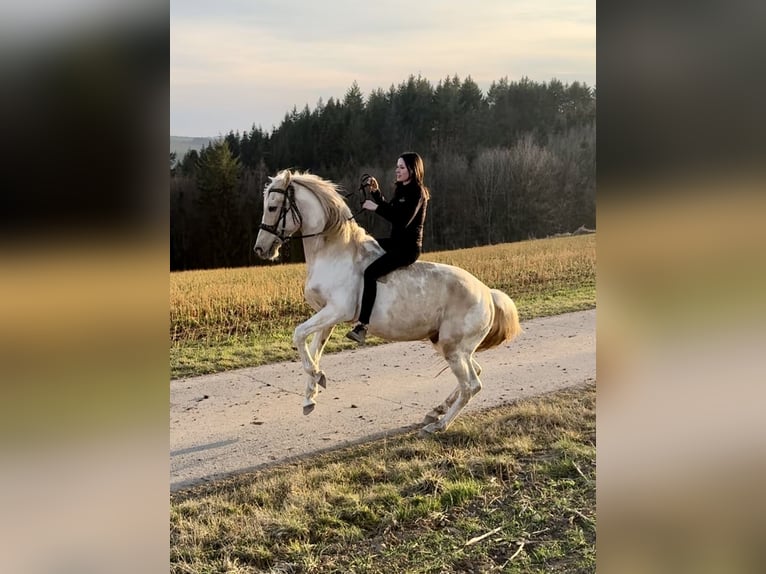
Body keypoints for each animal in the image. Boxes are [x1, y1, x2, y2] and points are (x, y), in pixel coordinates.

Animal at [255, 169, 524, 434]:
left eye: (272, 206)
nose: (261, 249)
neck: (333, 252)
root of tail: (488, 294)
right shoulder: (327, 316)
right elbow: (313, 350)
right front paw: (310, 397)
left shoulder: (336, 311)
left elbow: (299, 335)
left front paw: (316, 379)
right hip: (451, 346)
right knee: (474, 373)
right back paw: (434, 412)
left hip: (453, 349)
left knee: (472, 385)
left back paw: (438, 425)